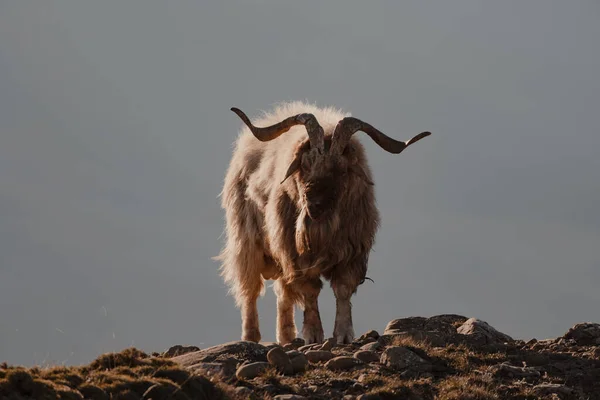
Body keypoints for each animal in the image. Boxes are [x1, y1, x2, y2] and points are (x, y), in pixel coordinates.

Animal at [216, 101, 432, 346]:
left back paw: (286, 336)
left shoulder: (351, 253)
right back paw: (251, 336)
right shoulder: (296, 254)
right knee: (250, 290)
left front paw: (344, 334)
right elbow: (310, 291)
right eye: (305, 163)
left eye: (343, 168)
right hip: (247, 241)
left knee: (283, 293)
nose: (315, 206)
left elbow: (342, 289)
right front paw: (313, 334)